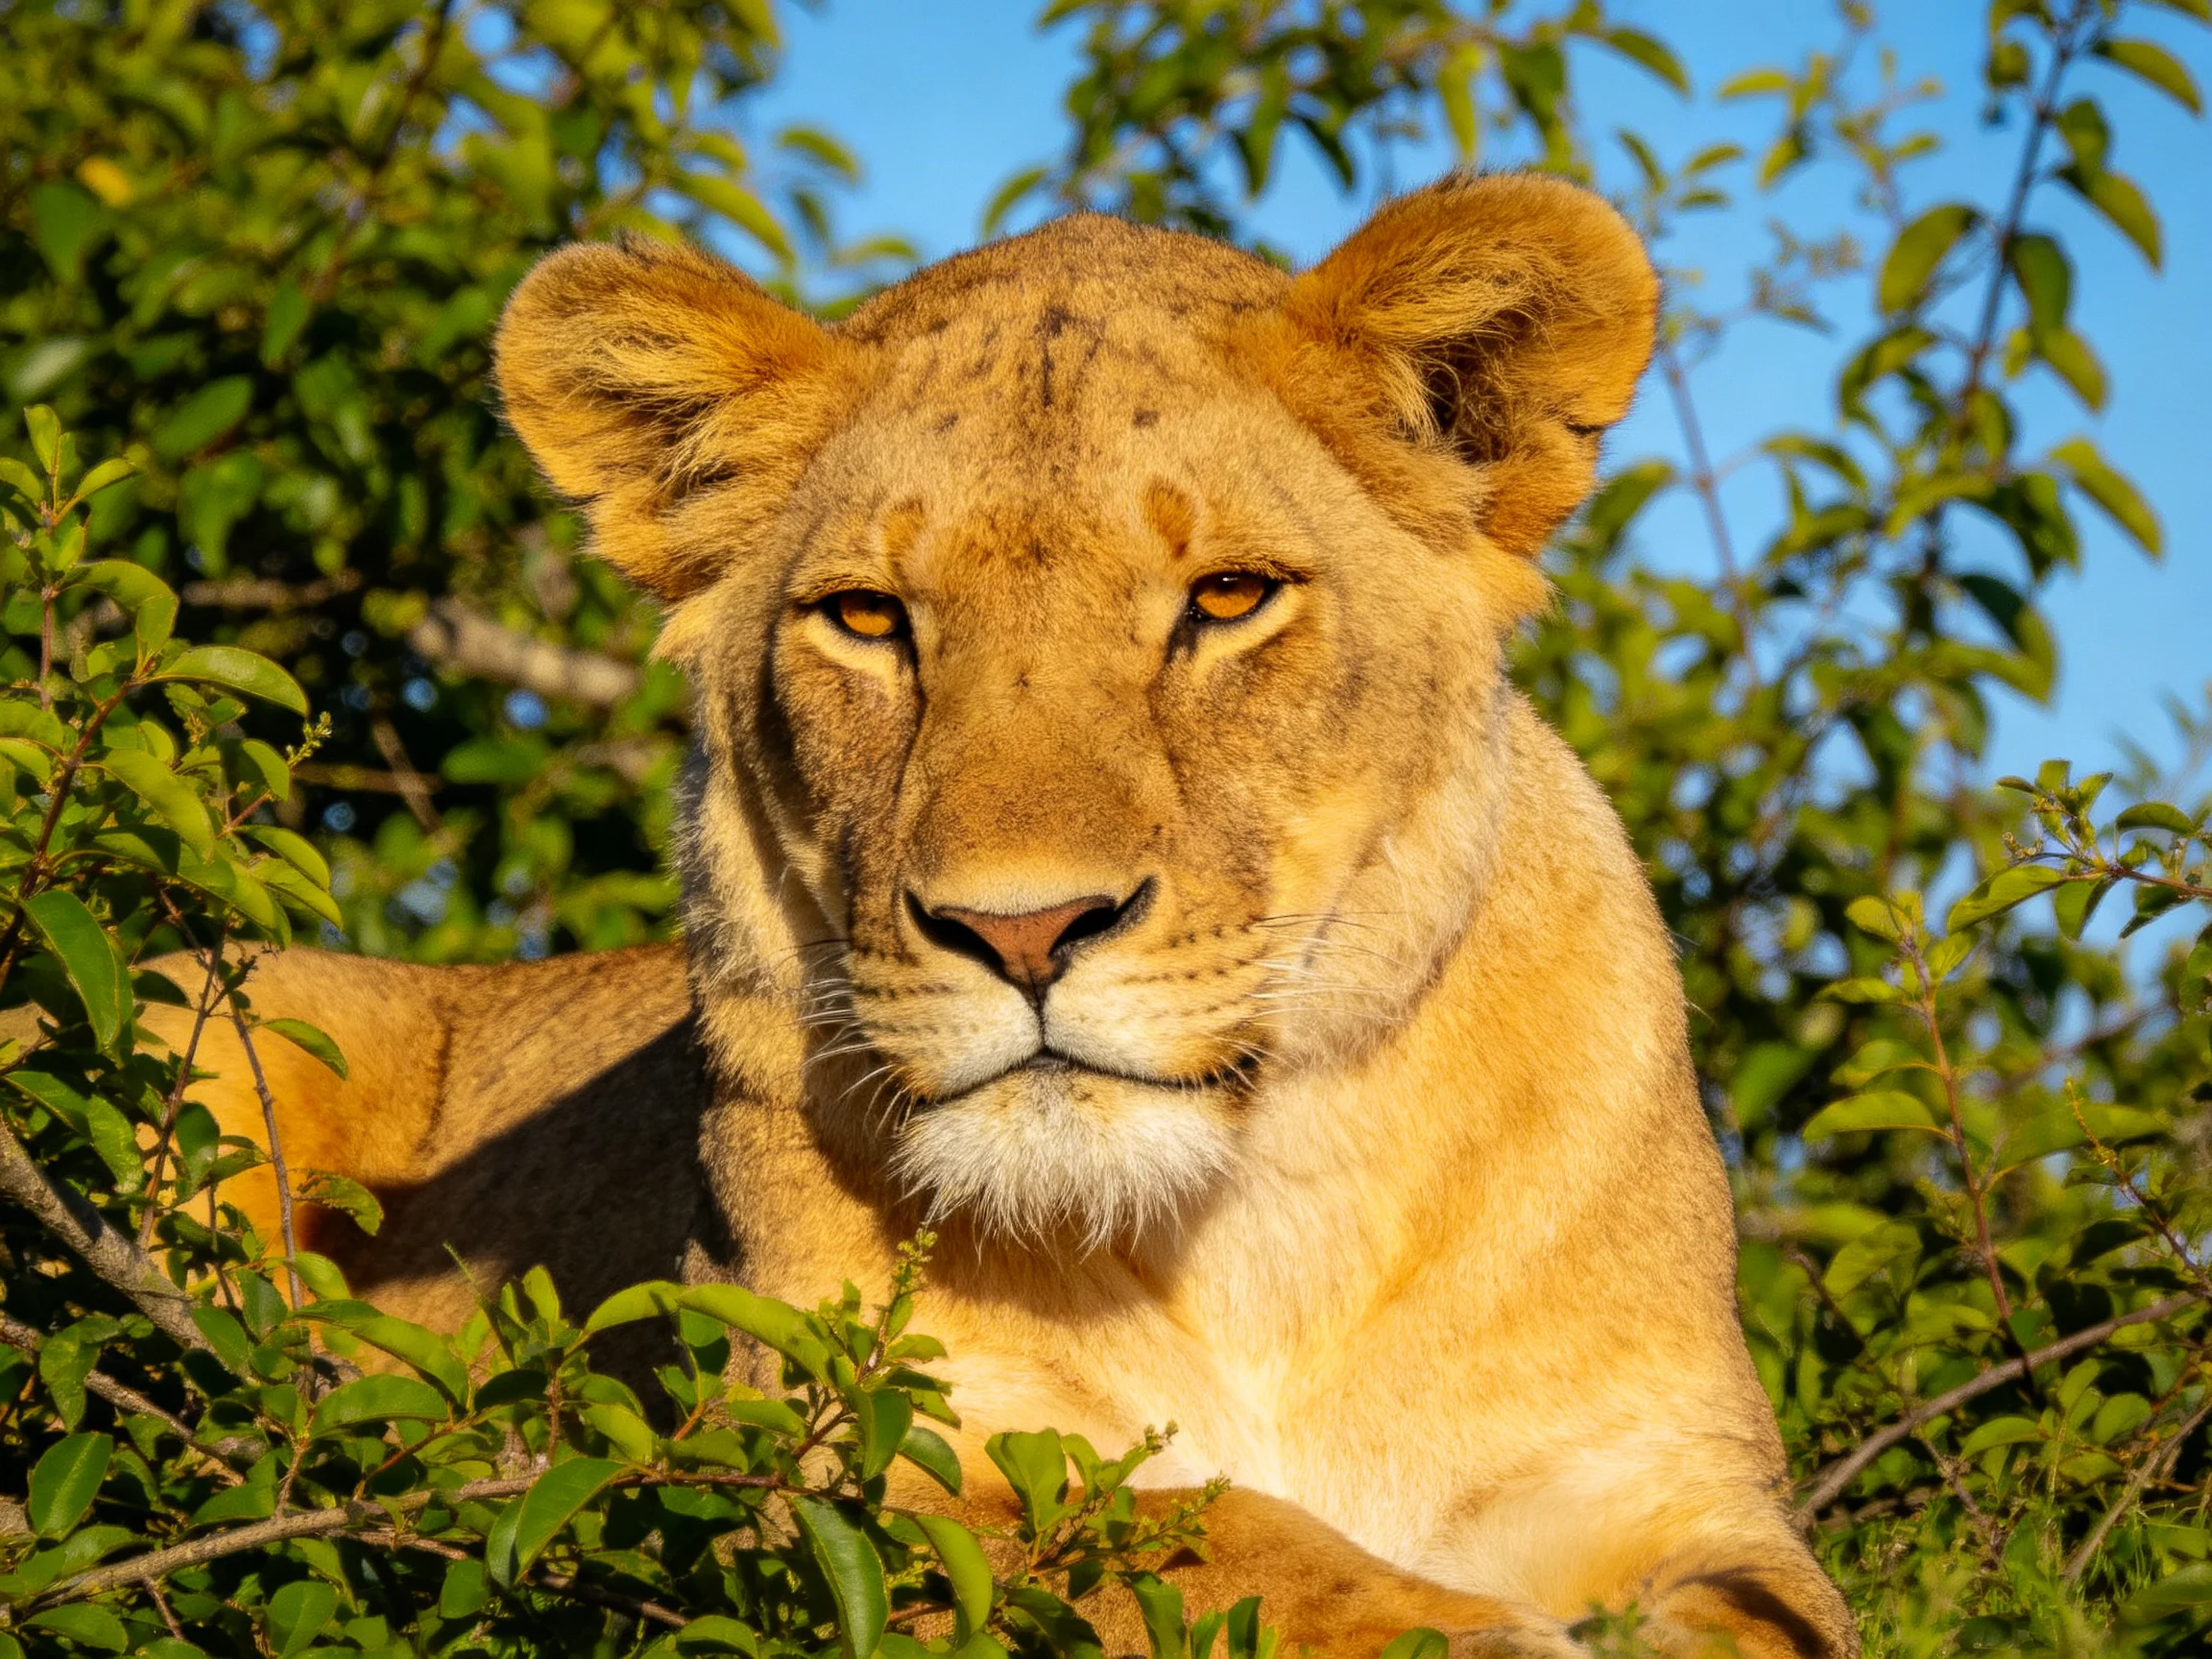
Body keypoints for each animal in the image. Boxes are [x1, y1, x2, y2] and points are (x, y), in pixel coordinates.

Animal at [152, 175, 1856, 1656]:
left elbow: (1768, 1624)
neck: (1256, 1227)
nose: (1025, 933)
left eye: (1228, 599)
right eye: (866, 619)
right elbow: (1187, 1539)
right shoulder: (821, 1461)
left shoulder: (1663, 1484)